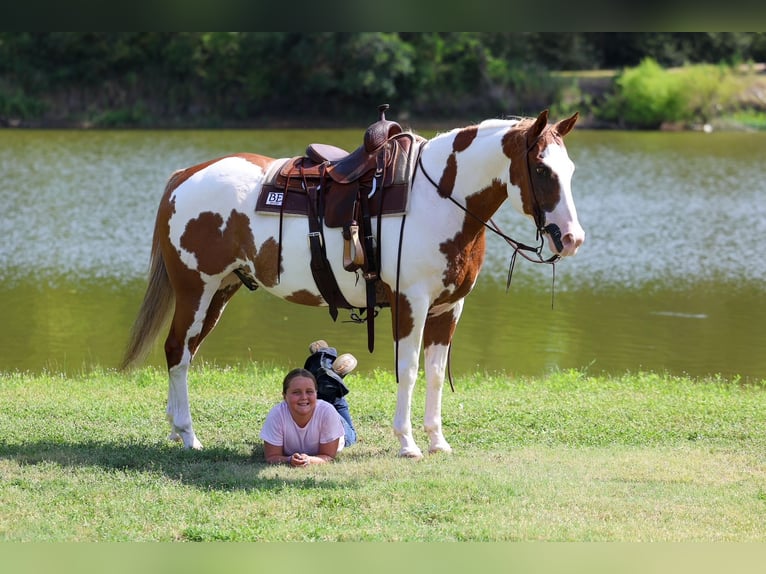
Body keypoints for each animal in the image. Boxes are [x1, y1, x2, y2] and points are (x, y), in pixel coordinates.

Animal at [120, 108, 584, 459]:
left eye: (571, 170)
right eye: (541, 168)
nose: (571, 238)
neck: (436, 198)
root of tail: (186, 175)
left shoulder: (448, 308)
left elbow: (435, 374)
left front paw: (438, 441)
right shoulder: (411, 302)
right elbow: (409, 370)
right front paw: (408, 443)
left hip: (220, 290)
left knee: (185, 353)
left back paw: (178, 430)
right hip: (196, 289)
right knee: (177, 351)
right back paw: (189, 435)